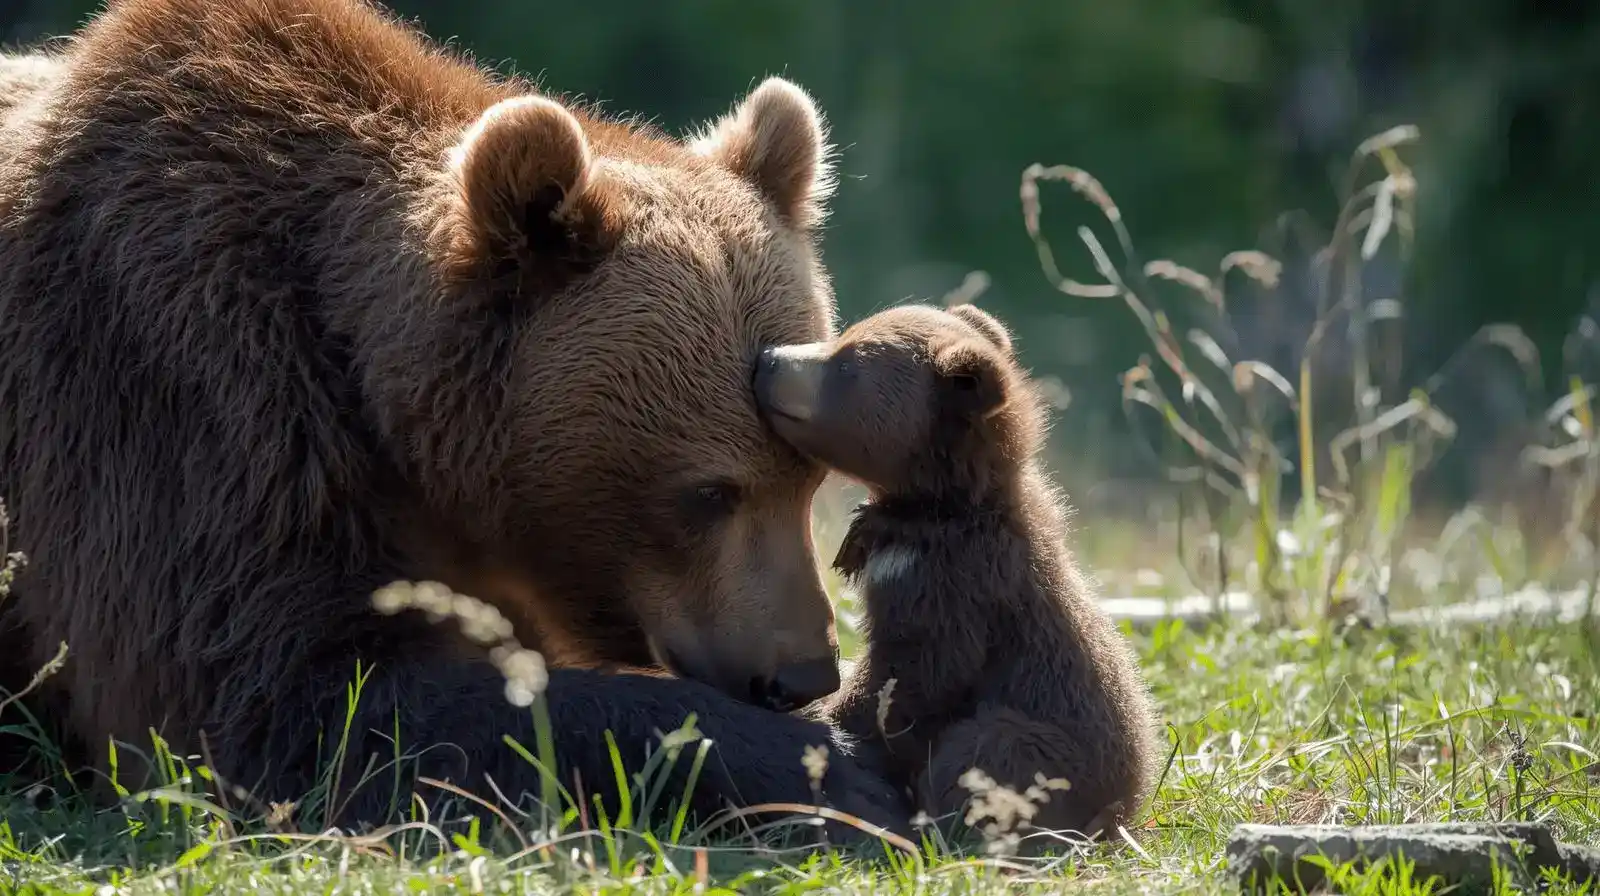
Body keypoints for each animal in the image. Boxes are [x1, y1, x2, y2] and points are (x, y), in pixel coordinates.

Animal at [0, 0, 909, 837]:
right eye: (708, 493)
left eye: (809, 477)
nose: (803, 673)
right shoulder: (179, 389)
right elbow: (278, 710)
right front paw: (834, 773)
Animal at [752, 303, 1161, 846]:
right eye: (845, 336)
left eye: (846, 362)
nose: (769, 358)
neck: (937, 509)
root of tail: (1127, 807)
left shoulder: (953, 582)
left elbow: (915, 675)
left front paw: (835, 726)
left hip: (1056, 750)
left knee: (990, 747)